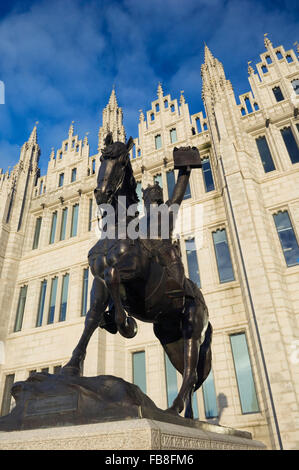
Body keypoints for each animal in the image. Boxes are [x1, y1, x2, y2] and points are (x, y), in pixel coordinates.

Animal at [62, 132, 213, 418]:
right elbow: (91, 318)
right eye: (102, 159)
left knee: (190, 371)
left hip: (192, 326)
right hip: (169, 339)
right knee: (190, 377)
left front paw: (125, 324)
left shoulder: (132, 271)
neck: (117, 230)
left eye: (121, 161)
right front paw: (72, 366)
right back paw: (185, 414)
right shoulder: (96, 282)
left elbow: (113, 275)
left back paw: (173, 408)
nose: (102, 193)